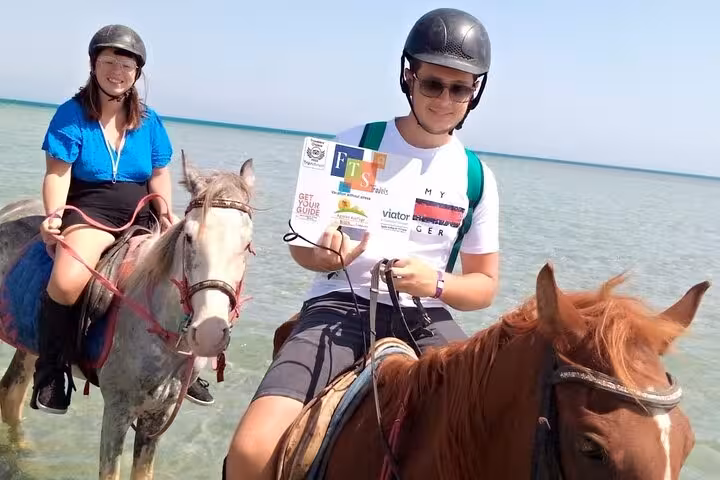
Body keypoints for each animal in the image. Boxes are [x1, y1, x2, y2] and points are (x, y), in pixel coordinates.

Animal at [0, 152, 256, 480]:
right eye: (188, 237)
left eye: (247, 245)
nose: (210, 335)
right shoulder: (117, 411)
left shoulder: (157, 416)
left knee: (11, 394)